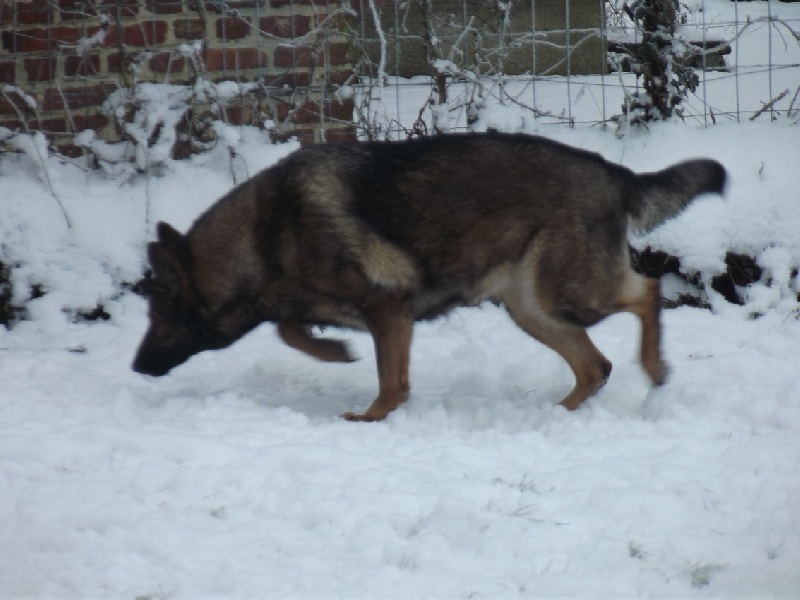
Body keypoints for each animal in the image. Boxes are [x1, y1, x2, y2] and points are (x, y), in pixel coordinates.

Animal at [133, 132, 724, 422]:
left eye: (158, 314)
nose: (136, 368)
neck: (261, 235)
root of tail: (613, 173)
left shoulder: (388, 310)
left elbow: (389, 382)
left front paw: (370, 418)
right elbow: (288, 328)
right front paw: (333, 352)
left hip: (565, 295)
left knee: (648, 293)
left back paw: (654, 367)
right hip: (532, 308)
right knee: (595, 367)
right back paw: (558, 417)